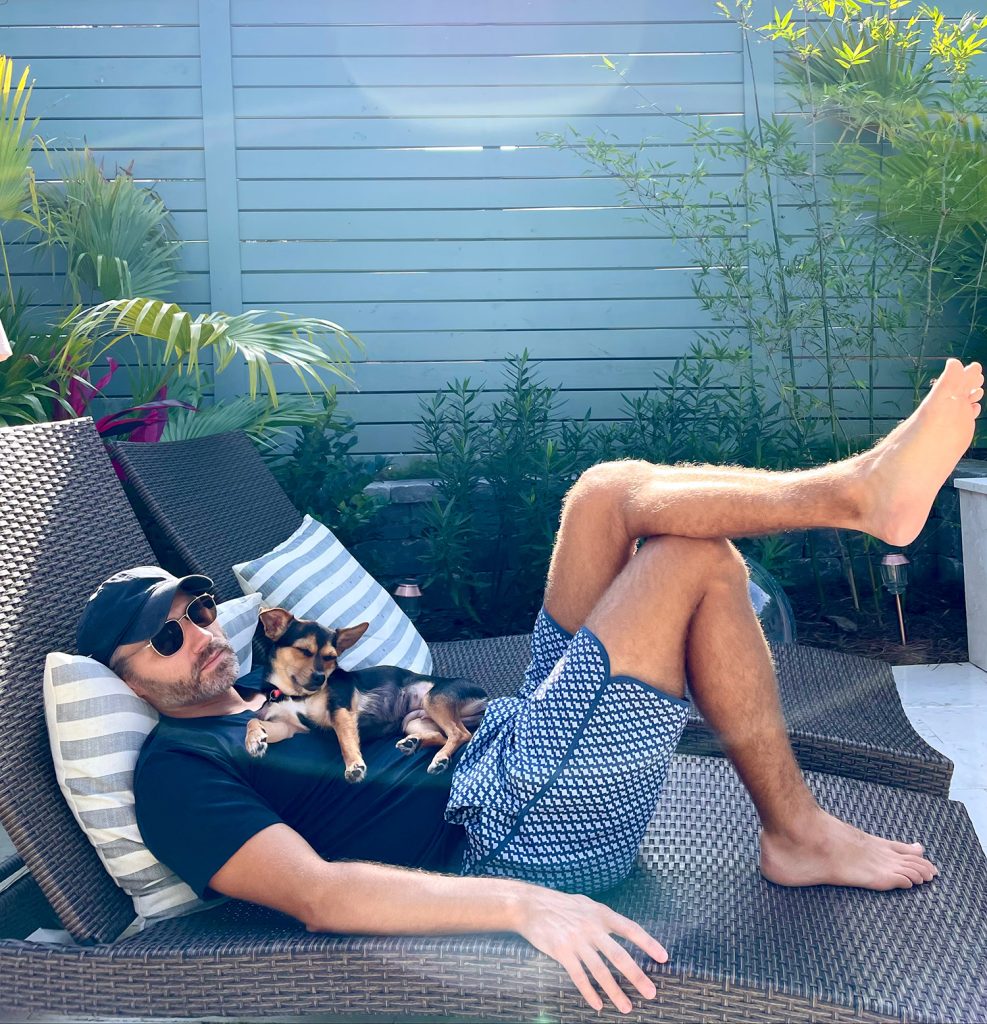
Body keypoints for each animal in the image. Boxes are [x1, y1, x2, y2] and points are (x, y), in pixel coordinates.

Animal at [244, 606, 487, 782]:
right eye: (303, 651)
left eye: (331, 657)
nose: (320, 678)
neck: (294, 695)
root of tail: (485, 696)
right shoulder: (289, 727)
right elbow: (252, 720)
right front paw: (255, 740)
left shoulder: (340, 710)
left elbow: (345, 740)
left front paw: (354, 765)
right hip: (413, 721)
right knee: (444, 735)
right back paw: (413, 743)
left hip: (433, 699)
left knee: (460, 734)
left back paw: (440, 758)